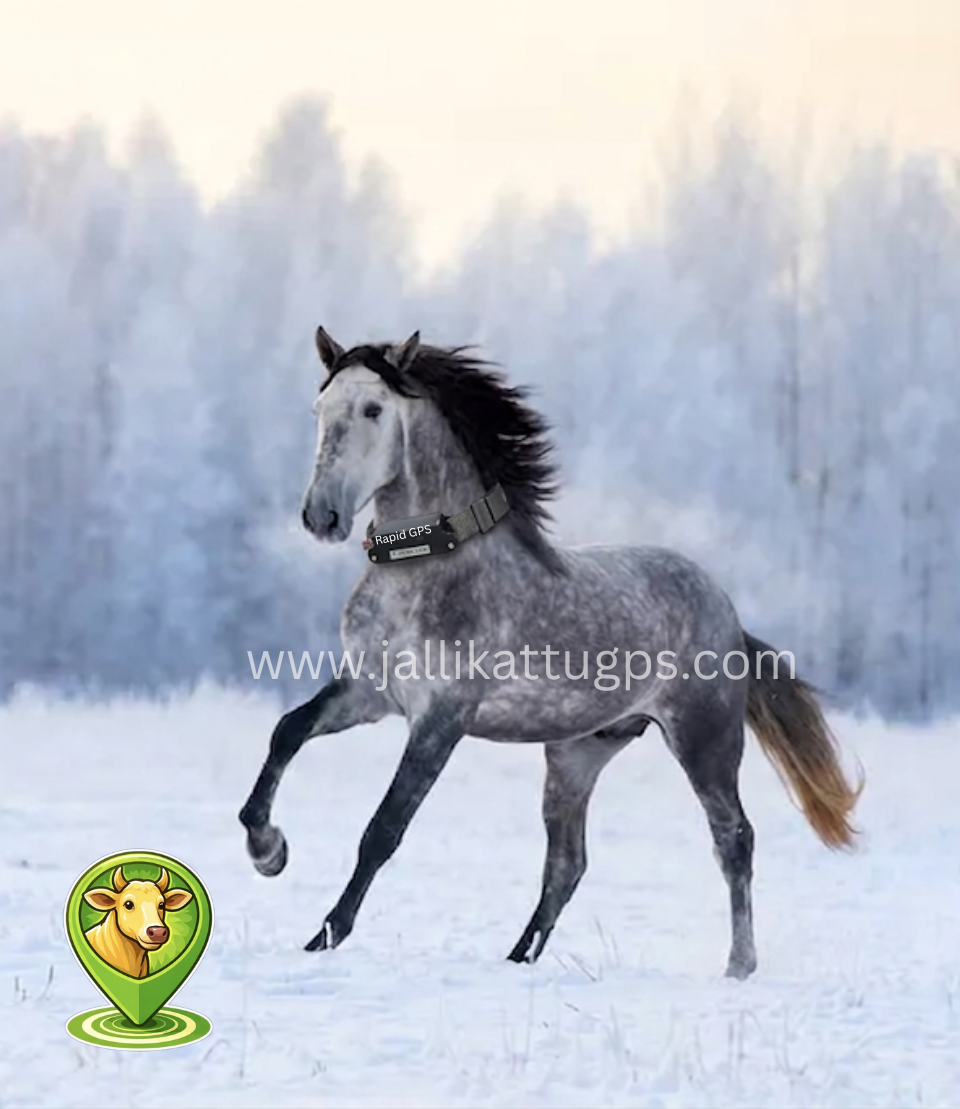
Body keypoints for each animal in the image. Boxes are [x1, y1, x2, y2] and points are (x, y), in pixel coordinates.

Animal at [239, 326, 862, 978]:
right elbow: (287, 731)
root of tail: (730, 617)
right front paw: (268, 851)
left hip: (704, 740)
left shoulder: (441, 718)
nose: (321, 515)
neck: (427, 573)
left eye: (373, 409)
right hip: (575, 756)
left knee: (733, 838)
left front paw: (324, 936)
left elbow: (384, 827)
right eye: (319, 409)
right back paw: (519, 958)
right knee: (568, 863)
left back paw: (739, 965)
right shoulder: (369, 692)